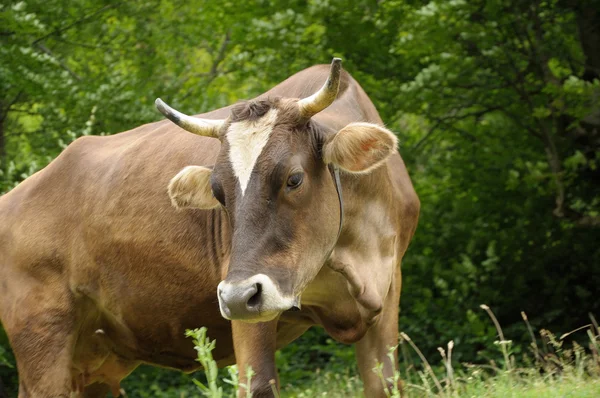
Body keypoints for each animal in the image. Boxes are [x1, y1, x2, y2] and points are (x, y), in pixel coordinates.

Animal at [0, 57, 418, 396]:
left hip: (96, 359)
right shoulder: (247, 305)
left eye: (294, 179)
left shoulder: (390, 285)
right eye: (218, 191)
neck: (354, 252)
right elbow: (259, 385)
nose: (235, 296)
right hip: (42, 334)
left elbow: (386, 384)